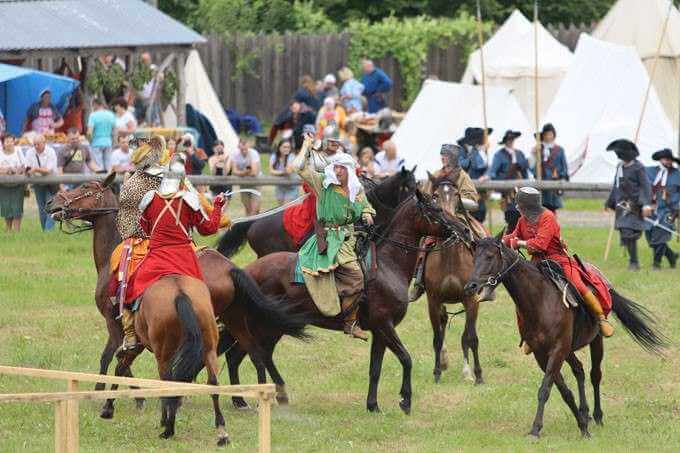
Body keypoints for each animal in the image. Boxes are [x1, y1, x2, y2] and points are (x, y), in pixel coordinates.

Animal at [46, 177, 312, 414]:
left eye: (85, 188)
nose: (52, 203)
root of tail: (231, 269)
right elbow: (118, 357)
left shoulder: (115, 321)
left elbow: (110, 358)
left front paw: (115, 393)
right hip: (232, 317)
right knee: (253, 353)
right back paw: (248, 399)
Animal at [228, 191, 456, 414]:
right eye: (436, 210)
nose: (458, 230)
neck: (388, 266)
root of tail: (246, 271)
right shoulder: (385, 326)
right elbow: (406, 359)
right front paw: (405, 401)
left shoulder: (379, 332)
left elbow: (375, 369)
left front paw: (373, 405)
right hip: (265, 326)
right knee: (252, 355)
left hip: (272, 326)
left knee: (249, 355)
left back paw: (246, 399)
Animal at [464, 238, 668, 436]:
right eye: (473, 258)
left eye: (490, 256)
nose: (471, 286)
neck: (540, 301)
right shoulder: (542, 354)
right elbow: (563, 391)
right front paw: (581, 423)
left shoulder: (558, 350)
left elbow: (545, 389)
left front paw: (536, 429)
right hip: (569, 351)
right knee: (579, 370)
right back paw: (585, 412)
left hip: (595, 340)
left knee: (595, 375)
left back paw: (597, 415)